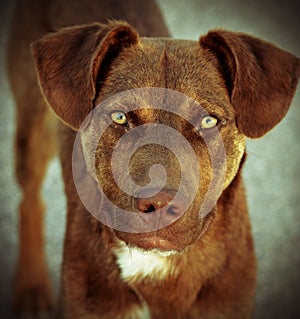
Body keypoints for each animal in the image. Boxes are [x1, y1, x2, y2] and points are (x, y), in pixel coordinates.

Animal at [7, 0, 300, 319]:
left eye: (209, 121)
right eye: (120, 117)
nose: (158, 204)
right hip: (33, 130)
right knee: (29, 200)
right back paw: (31, 287)